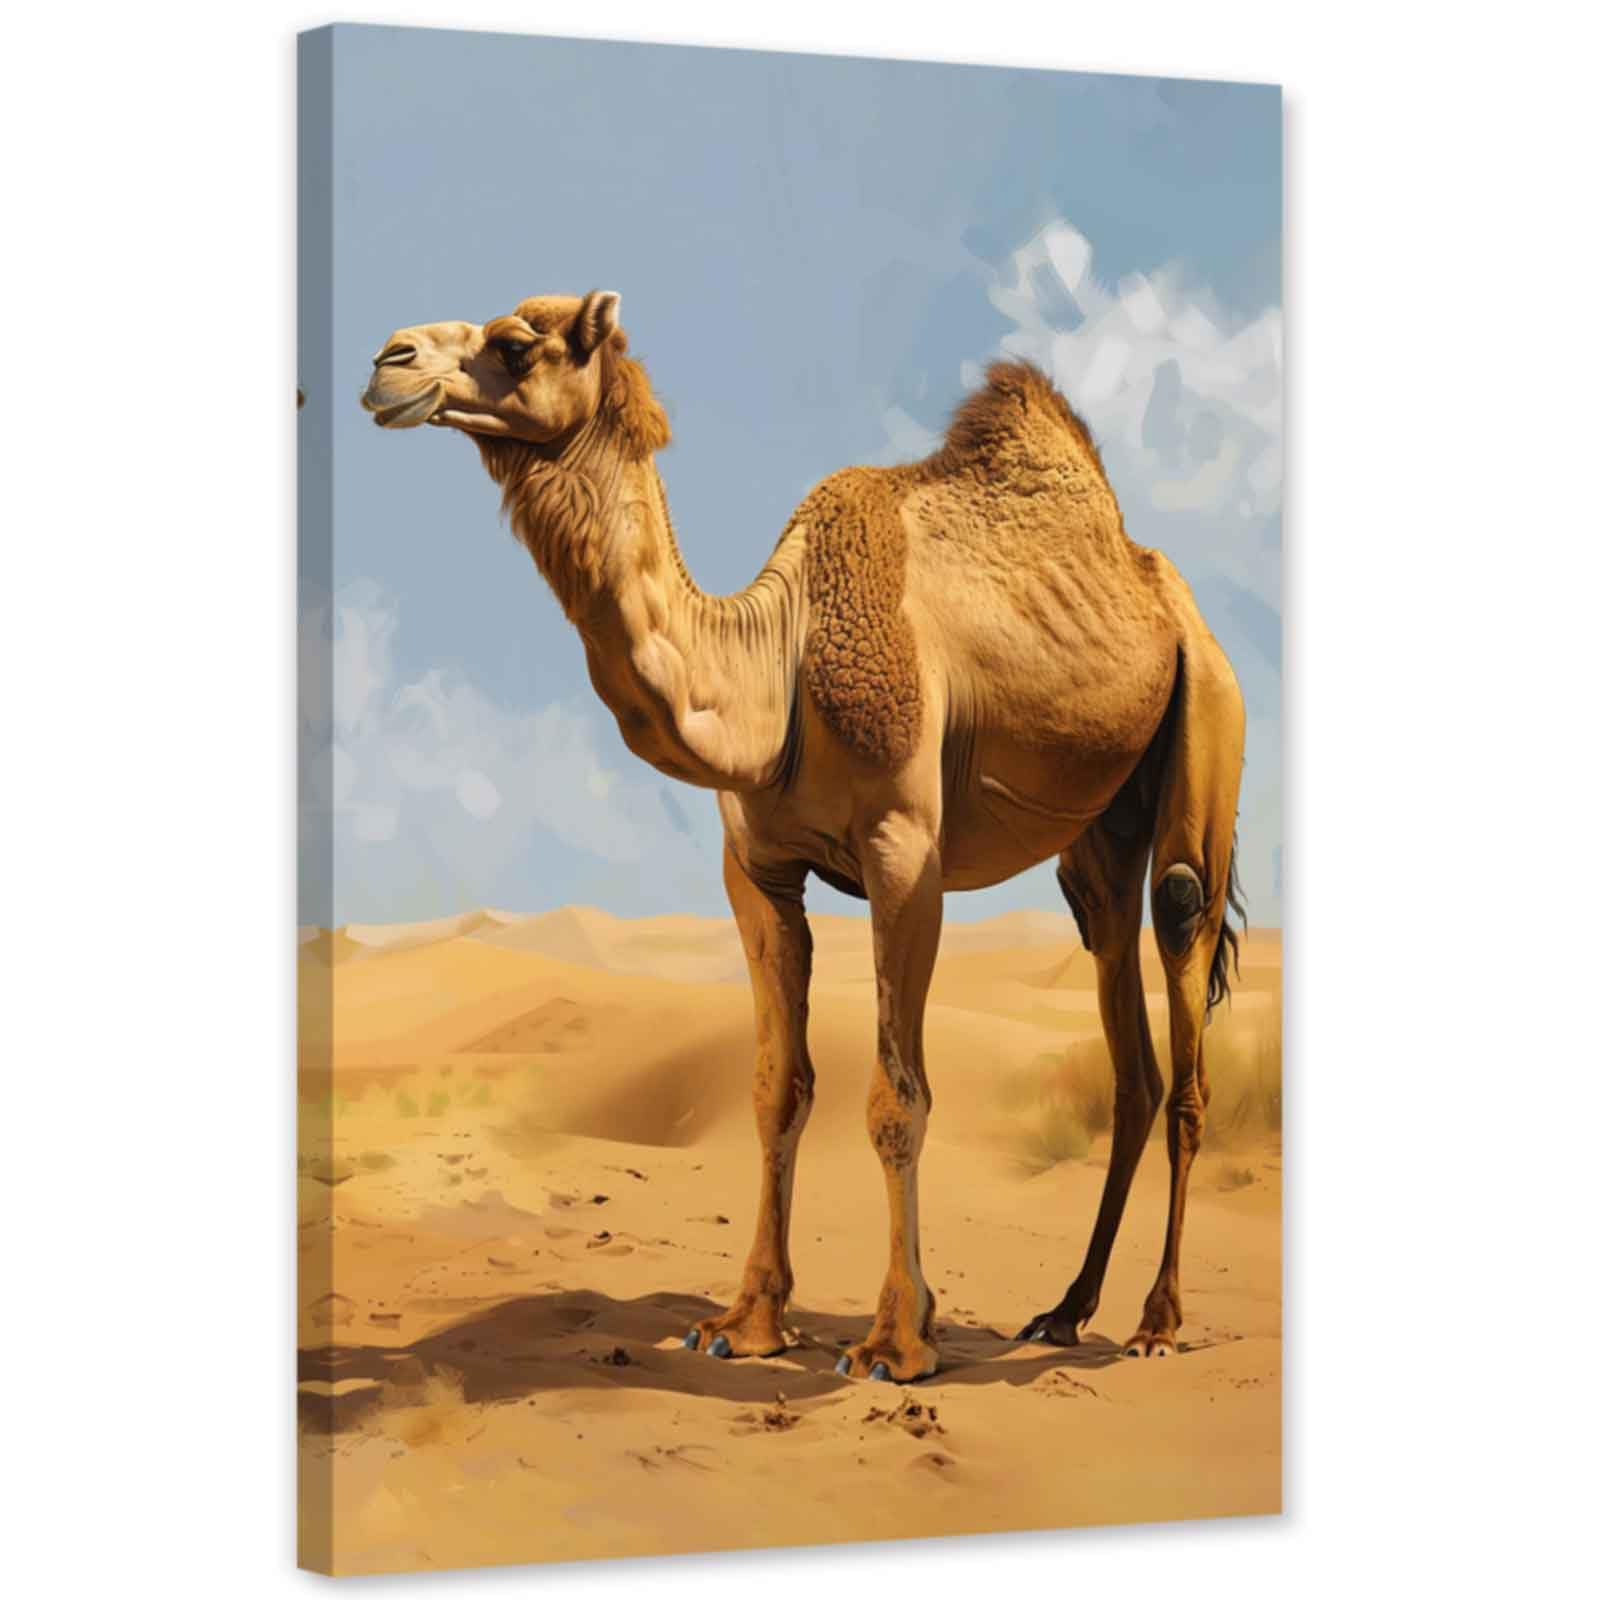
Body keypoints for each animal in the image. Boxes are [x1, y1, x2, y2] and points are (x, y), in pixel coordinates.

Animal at [360, 290, 1247, 1380]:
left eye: (517, 343)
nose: (387, 362)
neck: (773, 668)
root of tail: (1168, 595)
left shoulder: (906, 851)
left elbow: (897, 1096)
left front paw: (897, 1339)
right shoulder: (760, 869)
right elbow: (775, 1088)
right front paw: (742, 1321)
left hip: (1205, 720)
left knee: (1183, 948)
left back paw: (1156, 1322)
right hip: (1098, 830)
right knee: (1126, 1020)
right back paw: (1064, 1309)